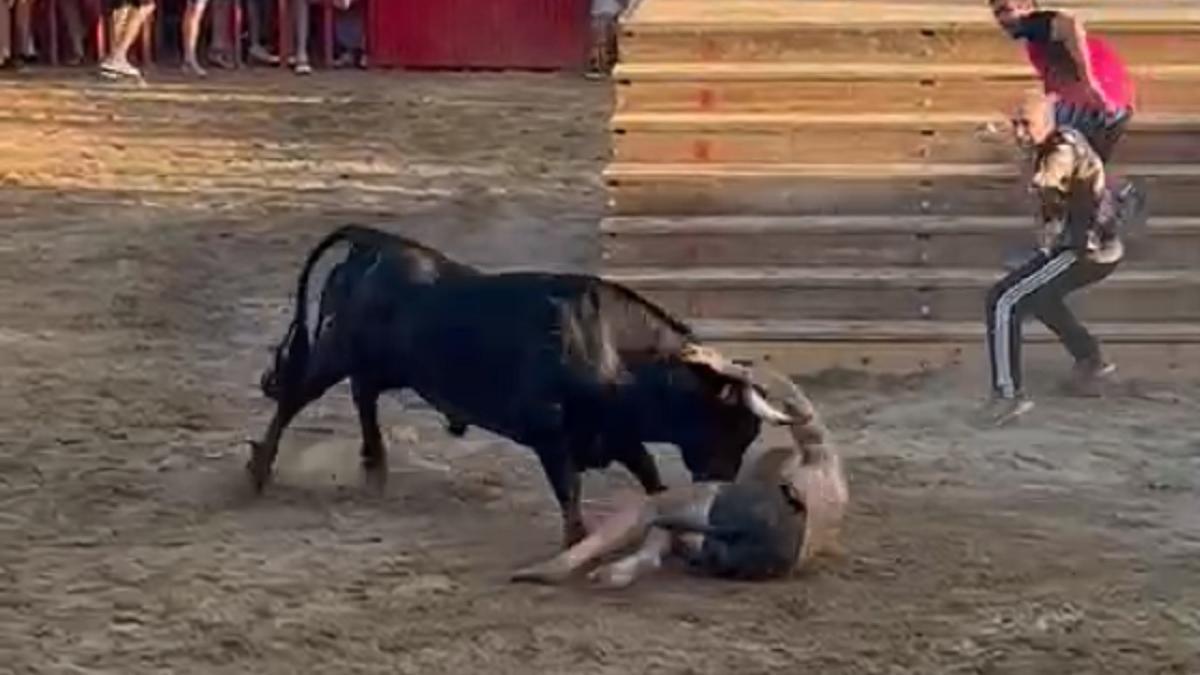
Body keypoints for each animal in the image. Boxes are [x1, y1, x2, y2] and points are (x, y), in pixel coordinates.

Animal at [250, 225, 796, 547]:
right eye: (734, 425)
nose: (721, 486)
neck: (613, 351)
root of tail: (373, 244)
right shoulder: (551, 435)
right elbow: (570, 490)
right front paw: (577, 542)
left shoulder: (616, 434)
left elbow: (649, 477)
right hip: (335, 351)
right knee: (296, 397)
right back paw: (258, 473)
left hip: (377, 365)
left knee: (363, 396)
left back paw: (375, 468)